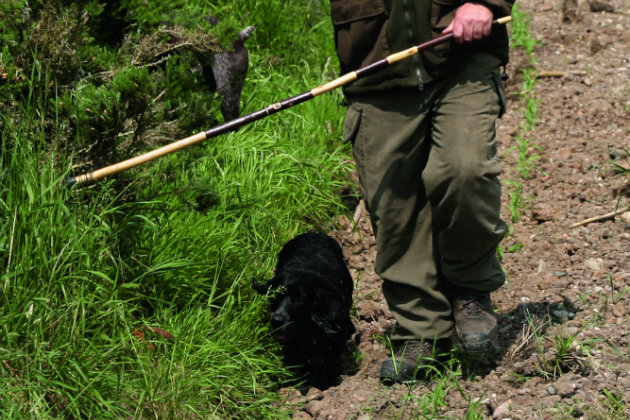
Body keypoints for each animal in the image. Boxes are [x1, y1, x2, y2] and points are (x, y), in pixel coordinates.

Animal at [254, 231, 358, 388]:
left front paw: (324, 384)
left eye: (301, 300)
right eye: (276, 295)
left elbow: (328, 362)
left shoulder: (339, 330)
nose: (277, 320)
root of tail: (314, 232)